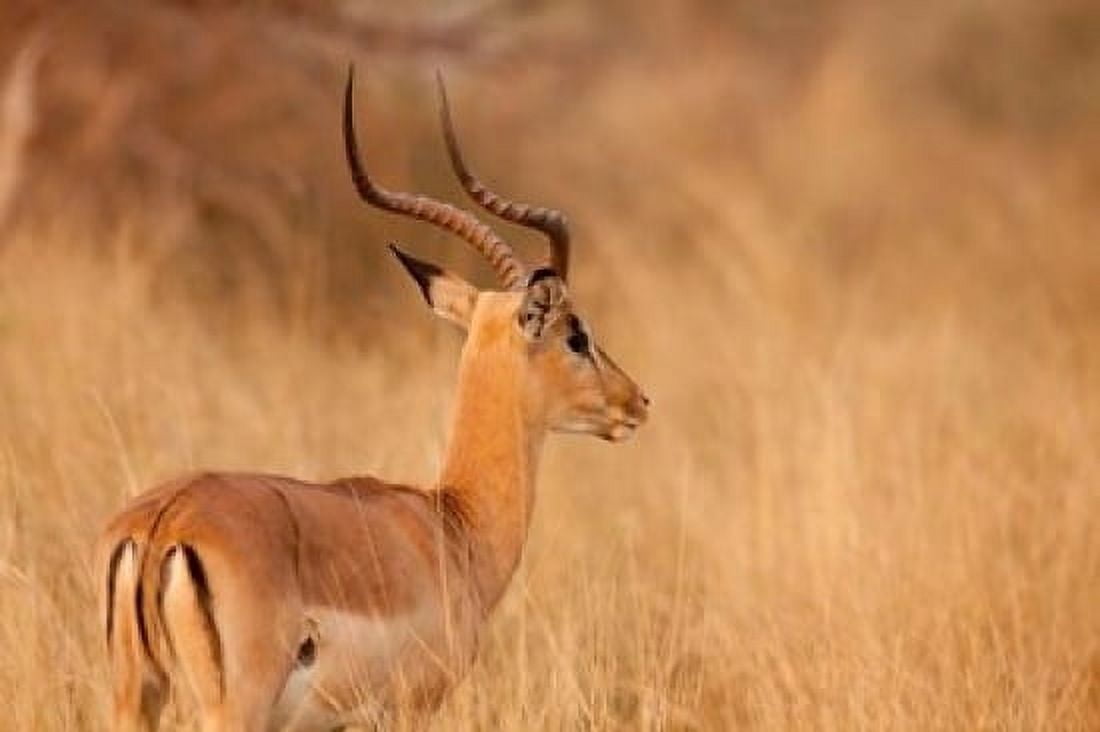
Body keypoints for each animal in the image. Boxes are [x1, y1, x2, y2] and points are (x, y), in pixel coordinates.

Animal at [94, 69, 649, 731]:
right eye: (577, 335)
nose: (637, 401)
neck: (449, 524)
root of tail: (162, 522)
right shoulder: (410, 709)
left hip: (135, 697)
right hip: (231, 708)